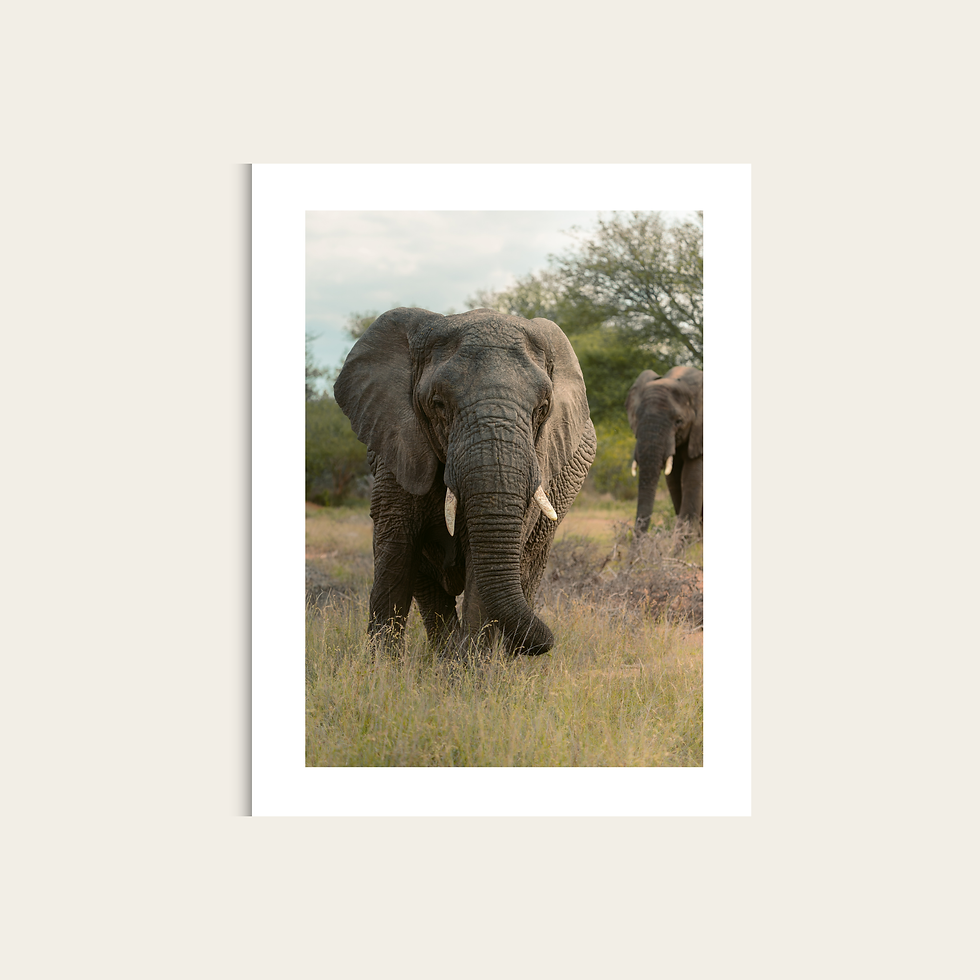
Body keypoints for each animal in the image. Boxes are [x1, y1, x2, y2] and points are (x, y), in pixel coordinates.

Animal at [334, 307, 597, 655]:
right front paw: (381, 666)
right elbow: (395, 552)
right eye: (438, 404)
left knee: (527, 571)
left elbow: (482, 562)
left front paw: (472, 666)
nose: (544, 644)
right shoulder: (397, 452)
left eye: (542, 409)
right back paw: (446, 655)